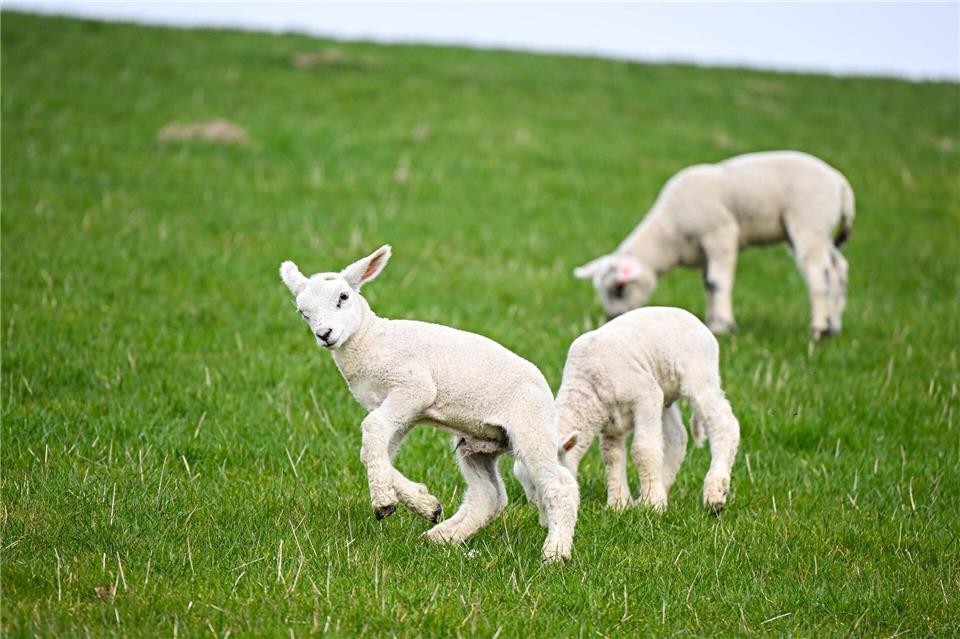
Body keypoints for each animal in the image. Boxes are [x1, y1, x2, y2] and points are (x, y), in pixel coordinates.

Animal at [278, 245, 579, 561]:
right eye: (303, 312)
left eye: (343, 297)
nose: (324, 335)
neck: (372, 341)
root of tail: (546, 391)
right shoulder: (400, 409)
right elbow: (371, 449)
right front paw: (424, 504)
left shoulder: (414, 387)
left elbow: (372, 428)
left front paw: (383, 501)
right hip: (477, 444)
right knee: (489, 496)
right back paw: (441, 537)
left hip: (531, 427)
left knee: (560, 485)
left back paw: (555, 552)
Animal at [514, 307, 740, 514]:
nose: (535, 510)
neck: (587, 387)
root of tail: (695, 320)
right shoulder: (610, 422)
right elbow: (611, 457)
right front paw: (618, 504)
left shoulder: (646, 395)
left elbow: (643, 448)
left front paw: (652, 504)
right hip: (664, 391)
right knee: (677, 436)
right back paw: (660, 488)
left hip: (699, 376)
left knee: (724, 424)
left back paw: (714, 492)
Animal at [574, 150, 855, 339]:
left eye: (619, 289)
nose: (612, 320)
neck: (668, 235)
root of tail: (839, 181)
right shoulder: (703, 253)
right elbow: (709, 284)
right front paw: (711, 321)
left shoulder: (720, 235)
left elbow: (719, 282)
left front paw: (723, 326)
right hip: (821, 232)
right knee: (838, 268)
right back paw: (834, 325)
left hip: (809, 224)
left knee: (818, 274)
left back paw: (818, 328)